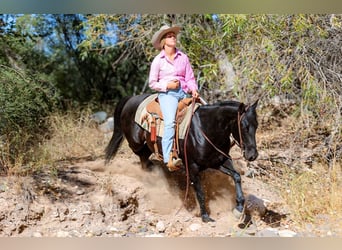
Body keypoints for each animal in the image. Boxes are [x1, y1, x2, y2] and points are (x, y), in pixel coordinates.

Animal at [105, 93, 258, 221]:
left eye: (256, 125)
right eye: (244, 126)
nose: (252, 155)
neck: (206, 129)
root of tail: (131, 98)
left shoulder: (219, 161)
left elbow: (236, 176)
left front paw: (239, 209)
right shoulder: (193, 167)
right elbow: (200, 192)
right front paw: (205, 216)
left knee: (144, 159)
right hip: (136, 143)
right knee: (140, 156)